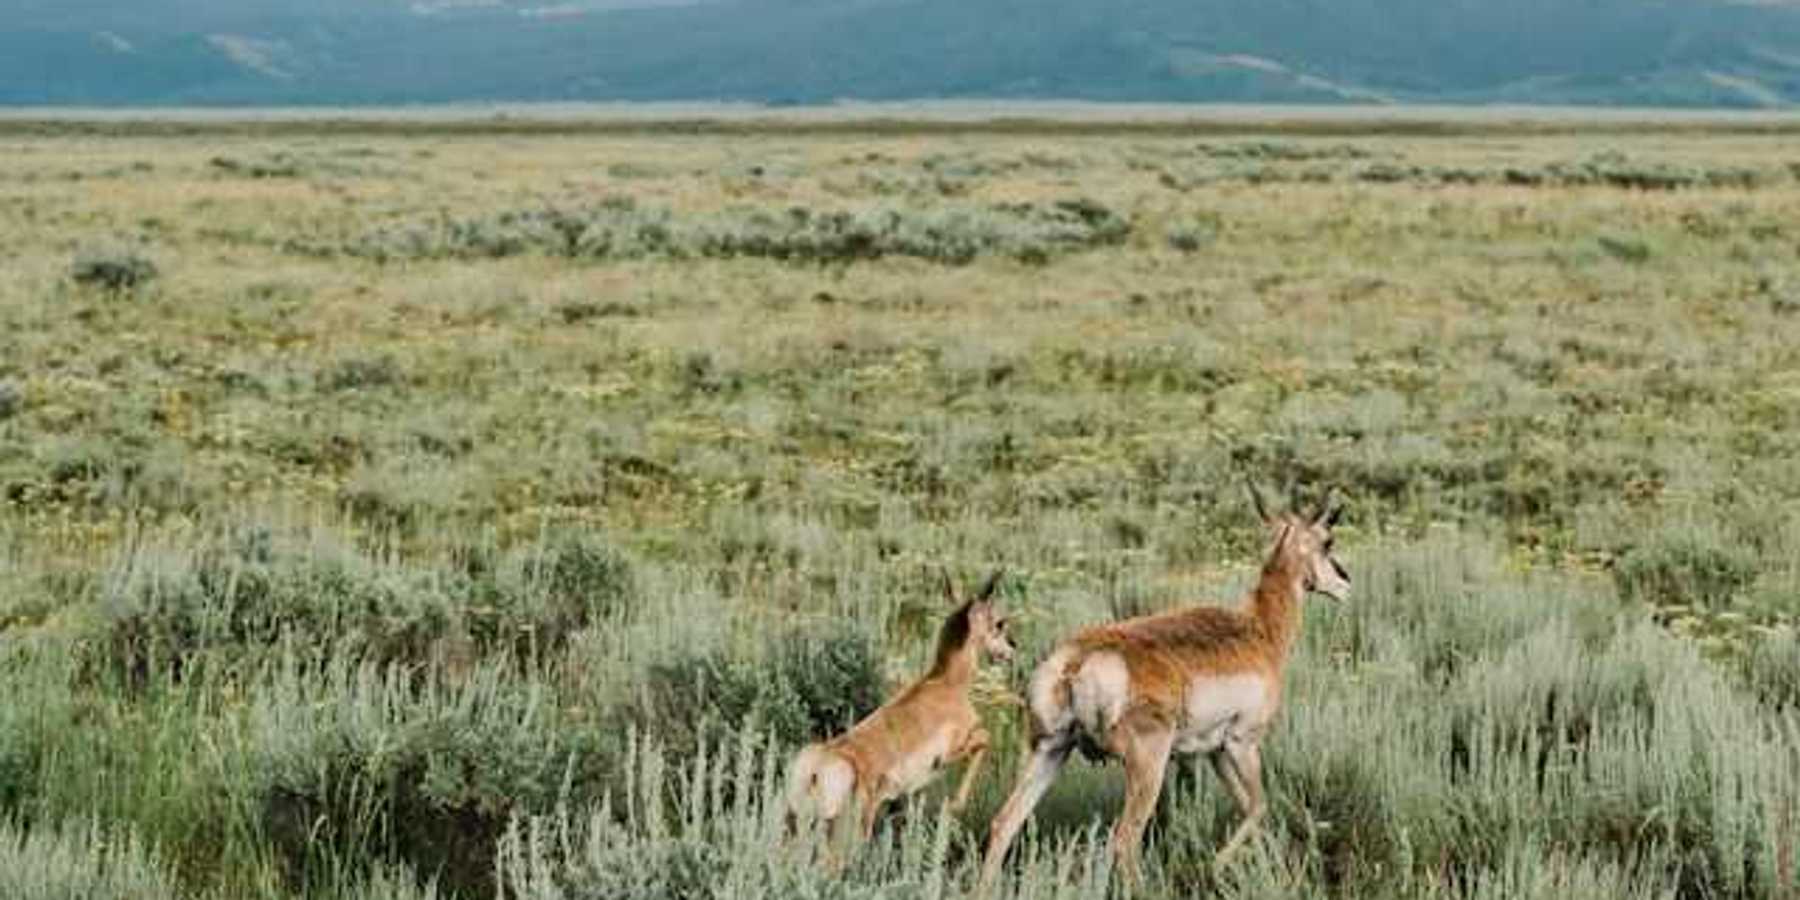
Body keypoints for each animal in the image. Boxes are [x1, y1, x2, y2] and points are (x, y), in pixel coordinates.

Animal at [785, 569, 1015, 860]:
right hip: (849, 831)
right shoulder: (953, 751)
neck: (945, 683)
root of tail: (817, 766)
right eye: (999, 623)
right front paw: (955, 804)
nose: (1012, 648)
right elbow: (985, 738)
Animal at [979, 485, 1349, 891]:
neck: (1259, 629)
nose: (1346, 582)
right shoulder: (1243, 743)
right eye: (1327, 541)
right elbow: (1259, 807)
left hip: (1050, 750)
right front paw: (1213, 867)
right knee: (1124, 841)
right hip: (1147, 766)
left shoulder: (1217, 752)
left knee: (1003, 825)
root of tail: (1074, 661)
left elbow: (1251, 808)